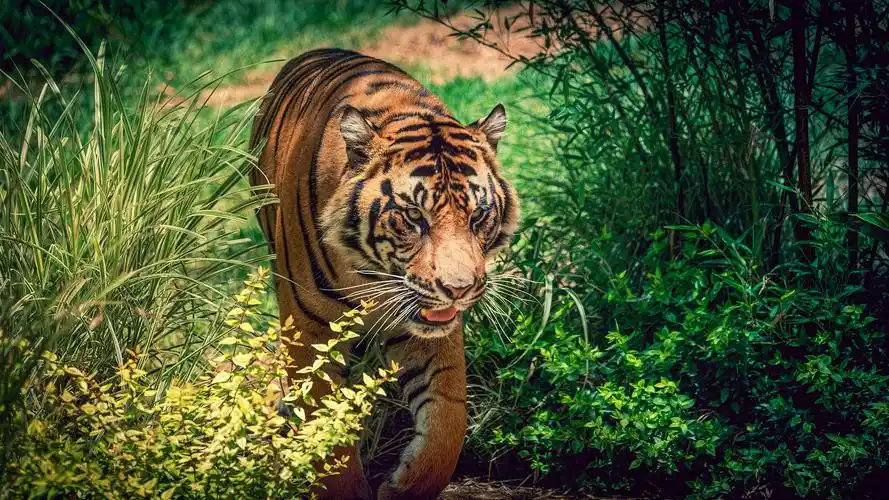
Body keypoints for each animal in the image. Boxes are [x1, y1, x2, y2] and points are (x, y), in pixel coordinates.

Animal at [248, 48, 519, 499]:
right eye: (414, 216)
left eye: (478, 215)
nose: (459, 290)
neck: (373, 277)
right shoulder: (310, 330)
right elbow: (325, 428)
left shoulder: (431, 330)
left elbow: (448, 423)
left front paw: (404, 486)